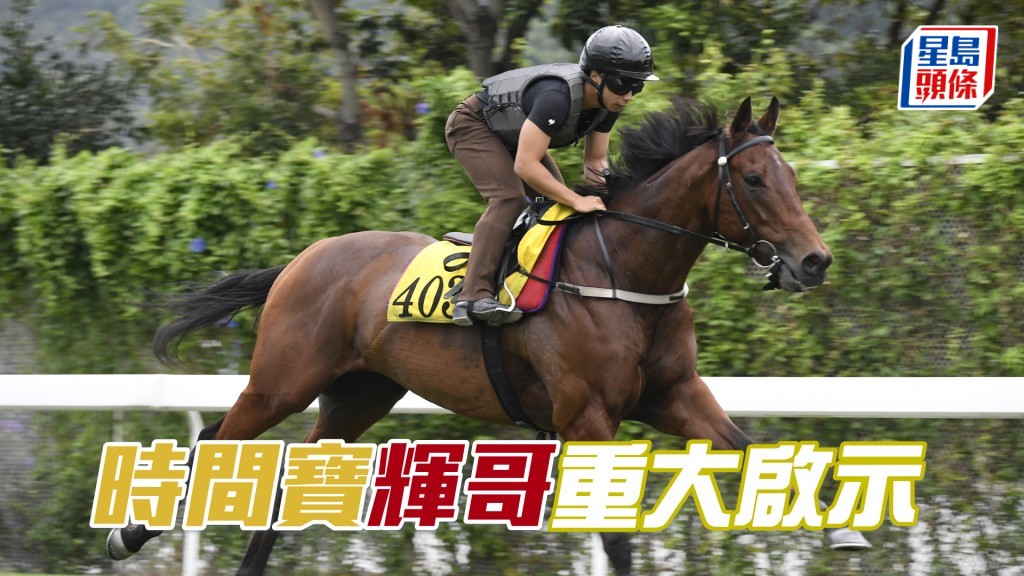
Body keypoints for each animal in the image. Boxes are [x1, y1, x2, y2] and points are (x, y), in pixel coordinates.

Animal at [107, 97, 864, 574]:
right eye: (756, 178)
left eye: (792, 175)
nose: (814, 261)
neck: (625, 271)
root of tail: (302, 258)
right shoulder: (586, 416)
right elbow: (616, 541)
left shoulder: (673, 396)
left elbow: (755, 450)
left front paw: (846, 527)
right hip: (284, 380)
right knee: (215, 439)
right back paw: (128, 533)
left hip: (359, 394)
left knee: (297, 478)